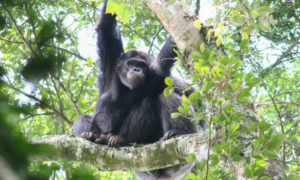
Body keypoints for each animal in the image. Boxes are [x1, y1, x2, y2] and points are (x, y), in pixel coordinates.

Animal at [71, 0, 202, 179]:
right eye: (132, 63)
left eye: (141, 65)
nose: (136, 70)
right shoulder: (110, 61)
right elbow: (106, 24)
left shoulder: (155, 75)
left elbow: (167, 67)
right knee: (82, 119)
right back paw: (89, 135)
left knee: (163, 97)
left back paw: (175, 133)